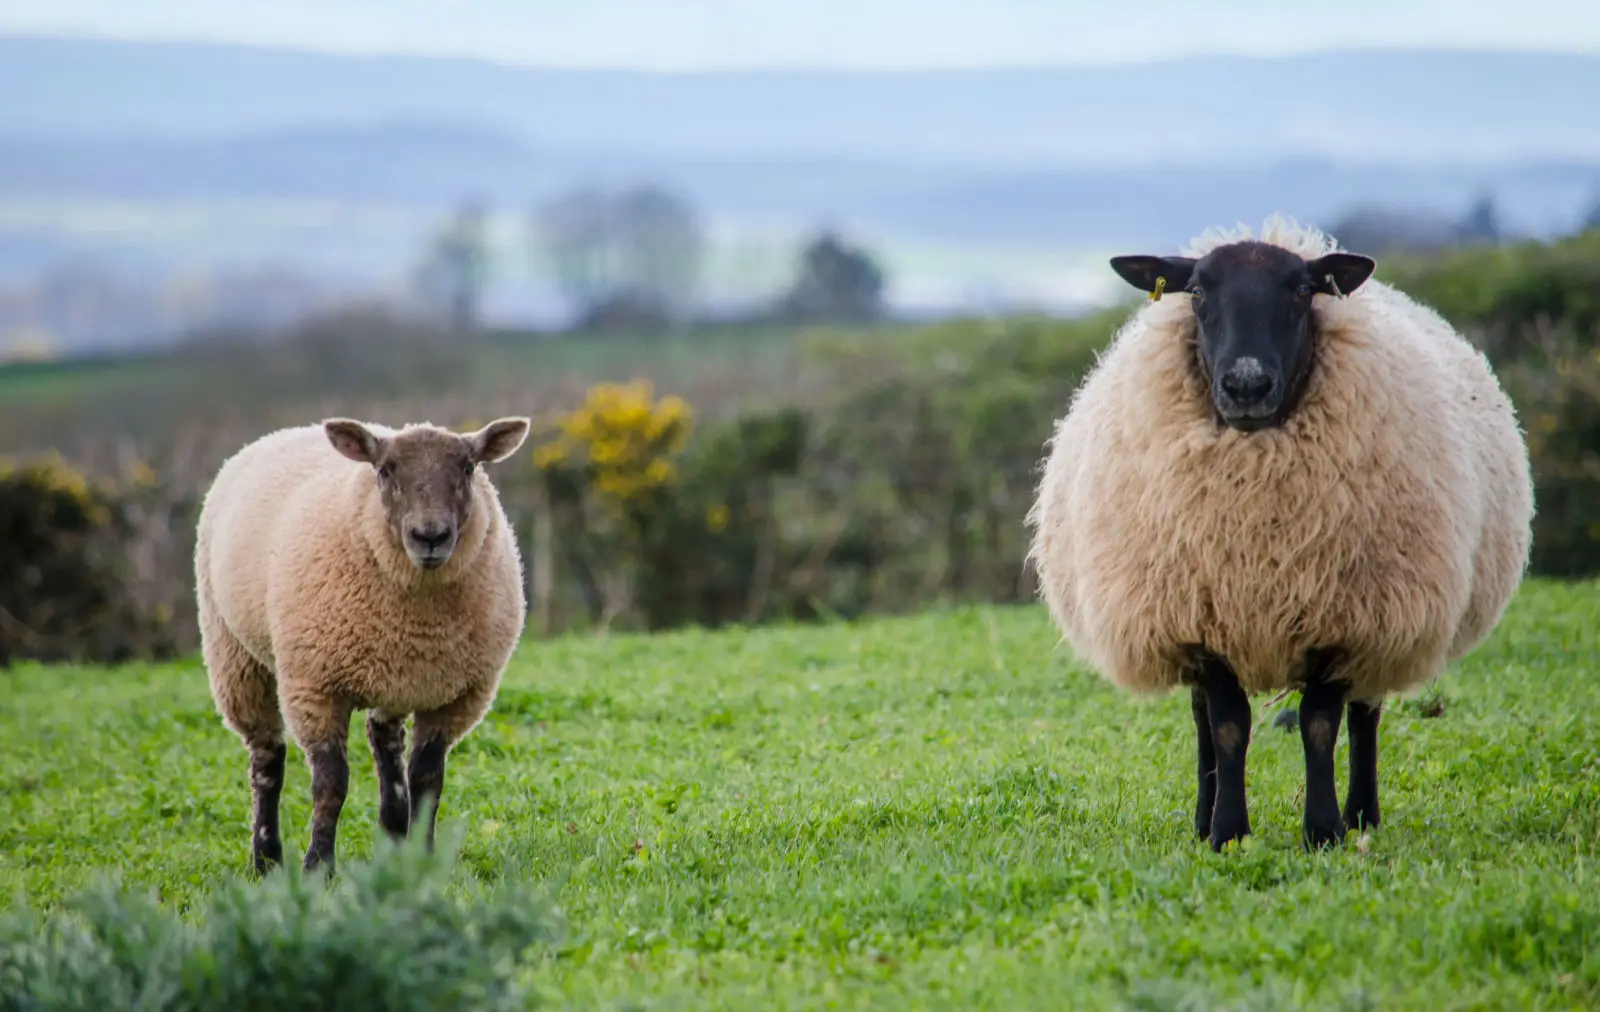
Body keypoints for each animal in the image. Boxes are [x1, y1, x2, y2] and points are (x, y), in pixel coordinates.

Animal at [195, 415, 531, 875]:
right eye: (384, 471)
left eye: (468, 468)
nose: (430, 536)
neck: (421, 623)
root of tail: (283, 432)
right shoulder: (314, 688)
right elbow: (331, 785)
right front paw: (318, 867)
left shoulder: (454, 697)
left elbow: (427, 779)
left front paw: (424, 859)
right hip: (234, 655)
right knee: (266, 760)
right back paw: (266, 858)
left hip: (395, 678)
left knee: (384, 742)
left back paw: (392, 838)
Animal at [1025, 216, 1533, 852]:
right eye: (1197, 291)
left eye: (1302, 291)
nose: (1246, 386)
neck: (1257, 509)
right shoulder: (1202, 617)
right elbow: (1226, 728)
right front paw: (1226, 832)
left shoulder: (1344, 619)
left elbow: (1319, 725)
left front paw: (1324, 830)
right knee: (1202, 719)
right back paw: (1203, 817)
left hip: (1389, 612)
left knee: (1366, 712)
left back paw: (1363, 814)